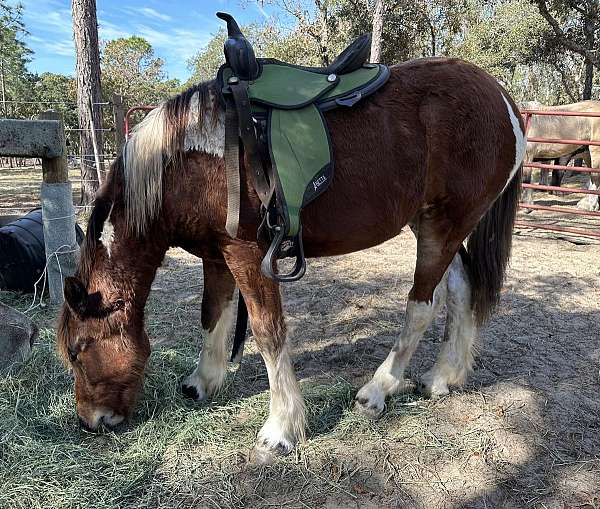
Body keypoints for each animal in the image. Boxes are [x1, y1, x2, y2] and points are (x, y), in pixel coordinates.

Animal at [57, 58, 524, 460]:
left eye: (79, 351)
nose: (90, 422)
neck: (189, 163)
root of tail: (501, 96)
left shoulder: (247, 254)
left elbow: (268, 333)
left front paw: (282, 427)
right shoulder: (216, 255)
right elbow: (212, 315)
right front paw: (202, 382)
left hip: (443, 227)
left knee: (422, 306)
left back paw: (378, 390)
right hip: (432, 223)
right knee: (461, 287)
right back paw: (444, 377)